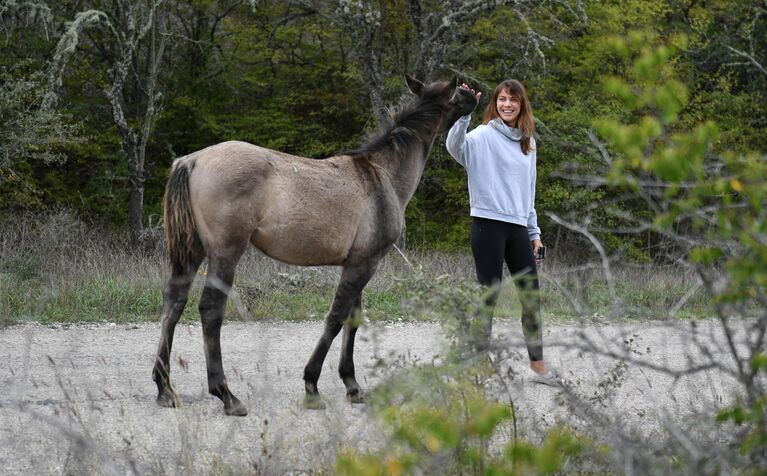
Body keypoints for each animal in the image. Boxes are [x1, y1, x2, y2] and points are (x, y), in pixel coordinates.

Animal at [152, 76, 476, 414]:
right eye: (455, 95)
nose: (475, 97)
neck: (382, 174)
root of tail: (192, 160)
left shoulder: (357, 262)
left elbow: (353, 318)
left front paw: (352, 385)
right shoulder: (365, 263)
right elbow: (335, 318)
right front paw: (312, 384)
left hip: (191, 252)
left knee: (174, 302)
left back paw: (165, 388)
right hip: (225, 252)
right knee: (210, 309)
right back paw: (226, 394)